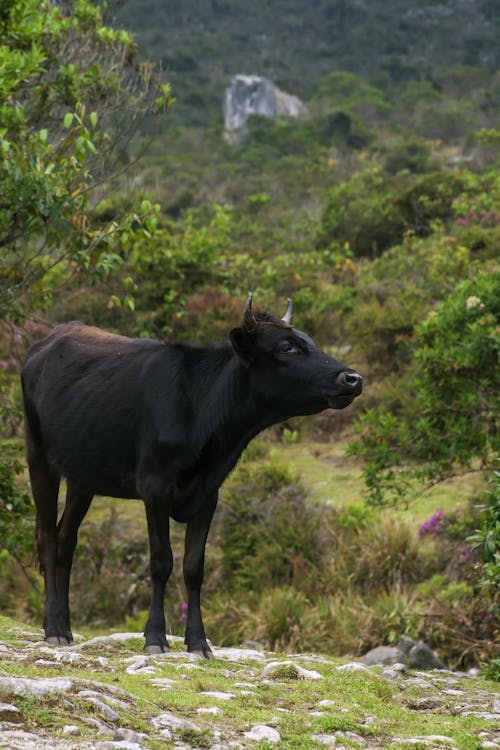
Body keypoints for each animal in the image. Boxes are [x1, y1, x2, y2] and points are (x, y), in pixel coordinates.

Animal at [21, 294, 362, 656]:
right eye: (286, 347)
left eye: (309, 340)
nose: (352, 378)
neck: (201, 409)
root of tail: (48, 341)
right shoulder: (155, 488)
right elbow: (161, 562)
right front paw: (155, 637)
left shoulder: (208, 494)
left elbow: (194, 567)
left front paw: (198, 641)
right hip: (39, 459)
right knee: (48, 537)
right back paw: (53, 629)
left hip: (82, 477)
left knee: (66, 540)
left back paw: (65, 627)